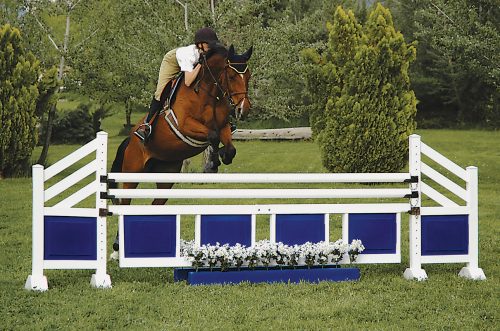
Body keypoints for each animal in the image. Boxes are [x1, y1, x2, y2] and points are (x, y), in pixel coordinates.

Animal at [108, 44, 252, 254]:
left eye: (248, 75)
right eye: (232, 76)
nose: (244, 109)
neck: (208, 92)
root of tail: (130, 138)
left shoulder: (224, 126)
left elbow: (227, 144)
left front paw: (220, 158)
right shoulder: (185, 125)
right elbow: (212, 136)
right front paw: (213, 163)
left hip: (166, 176)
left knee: (155, 204)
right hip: (132, 172)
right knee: (125, 203)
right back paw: (118, 245)